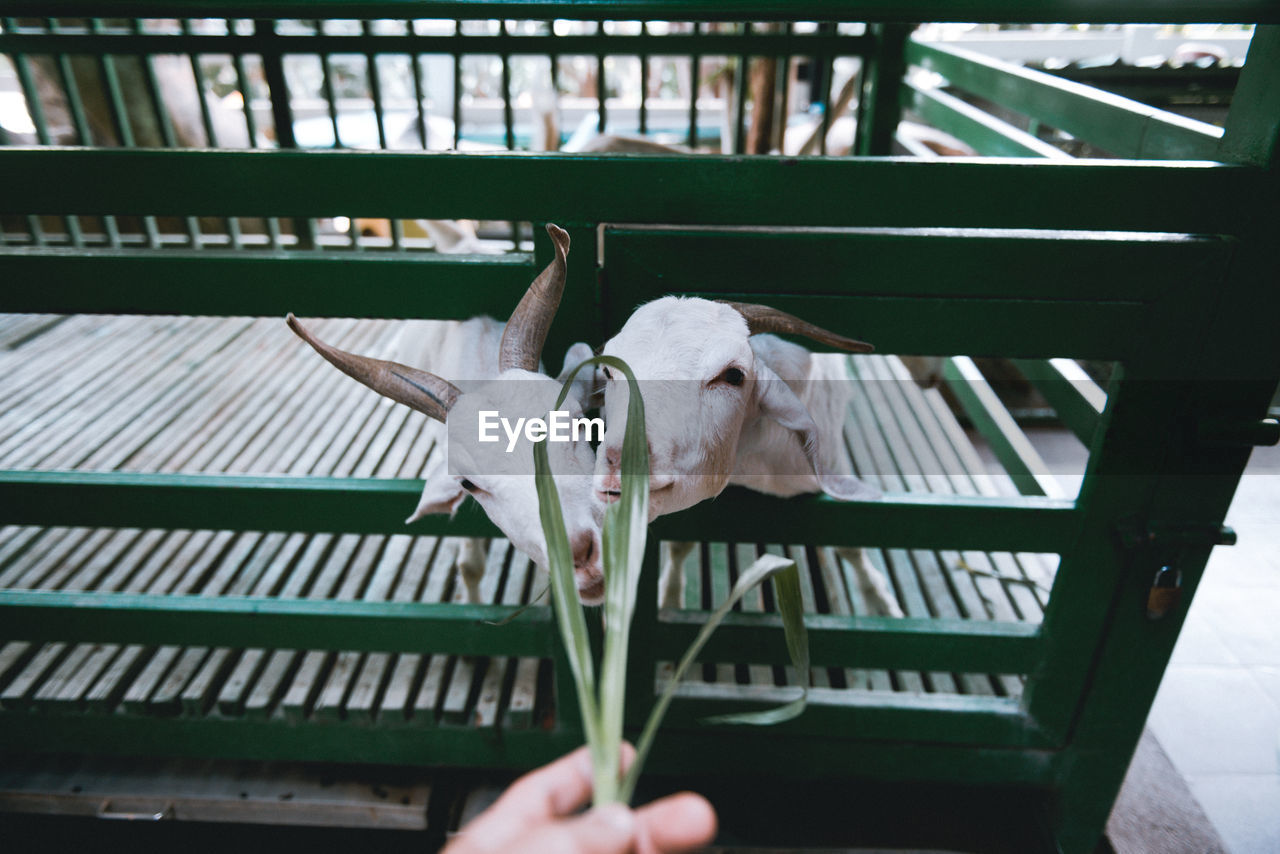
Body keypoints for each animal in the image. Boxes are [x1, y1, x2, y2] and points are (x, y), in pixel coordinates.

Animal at [596, 297, 906, 617]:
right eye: (607, 372)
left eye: (733, 375)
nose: (622, 459)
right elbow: (679, 545)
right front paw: (670, 598)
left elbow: (850, 543)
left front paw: (880, 604)